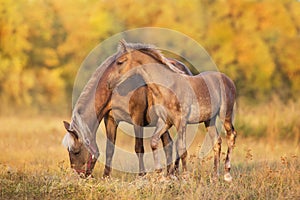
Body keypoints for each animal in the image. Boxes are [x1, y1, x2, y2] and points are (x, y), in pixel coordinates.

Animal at [62, 41, 192, 177]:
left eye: (76, 151)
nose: (80, 176)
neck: (115, 90)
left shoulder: (137, 117)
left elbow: (139, 148)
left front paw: (142, 175)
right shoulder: (110, 119)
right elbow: (110, 149)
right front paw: (106, 176)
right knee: (169, 144)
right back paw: (170, 173)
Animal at [109, 40, 237, 181]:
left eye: (120, 62)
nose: (109, 83)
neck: (167, 87)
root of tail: (228, 80)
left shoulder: (180, 121)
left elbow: (181, 149)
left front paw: (185, 177)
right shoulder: (165, 121)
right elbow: (154, 142)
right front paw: (160, 174)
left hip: (225, 115)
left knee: (231, 135)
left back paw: (227, 175)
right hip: (209, 119)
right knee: (217, 142)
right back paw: (214, 176)